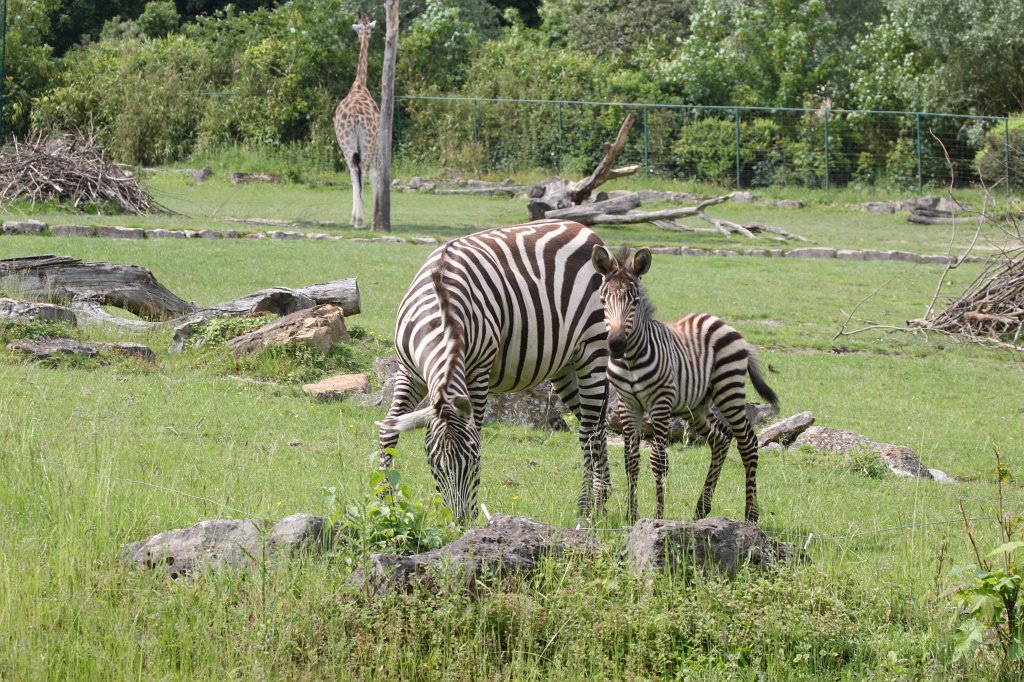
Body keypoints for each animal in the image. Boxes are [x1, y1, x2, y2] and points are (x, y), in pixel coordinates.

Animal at [376, 220, 611, 523]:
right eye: (434, 465)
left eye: (475, 461)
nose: (462, 521)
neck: (442, 307)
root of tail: (583, 228)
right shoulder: (408, 372)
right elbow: (388, 431)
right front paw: (385, 503)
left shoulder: (478, 371)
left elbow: (476, 428)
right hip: (565, 367)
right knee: (598, 427)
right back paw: (601, 503)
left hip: (593, 350)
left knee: (589, 432)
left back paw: (586, 510)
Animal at [591, 245, 779, 524]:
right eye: (603, 300)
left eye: (635, 302)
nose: (615, 345)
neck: (631, 359)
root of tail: (719, 321)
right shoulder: (627, 404)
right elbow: (630, 460)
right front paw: (631, 515)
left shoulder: (660, 403)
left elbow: (658, 460)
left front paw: (658, 515)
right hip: (696, 406)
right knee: (720, 441)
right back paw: (701, 509)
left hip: (729, 392)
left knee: (748, 443)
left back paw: (750, 514)